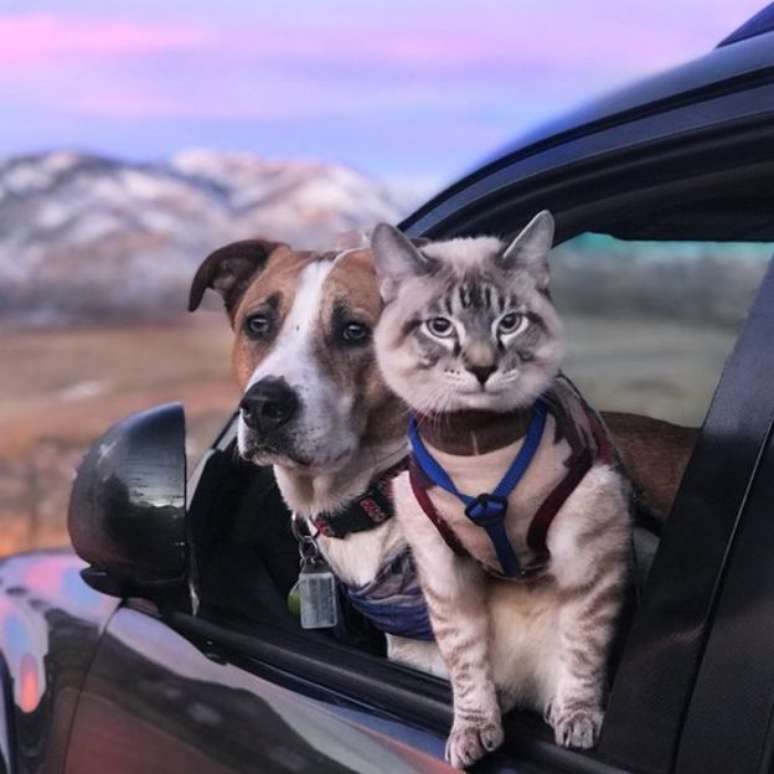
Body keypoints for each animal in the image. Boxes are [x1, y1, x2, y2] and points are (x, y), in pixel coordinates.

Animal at [372, 211, 632, 768]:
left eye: (509, 322)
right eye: (440, 326)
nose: (482, 367)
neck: (476, 447)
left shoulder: (588, 553)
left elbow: (582, 647)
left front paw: (578, 717)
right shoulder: (444, 572)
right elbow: (466, 664)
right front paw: (473, 728)